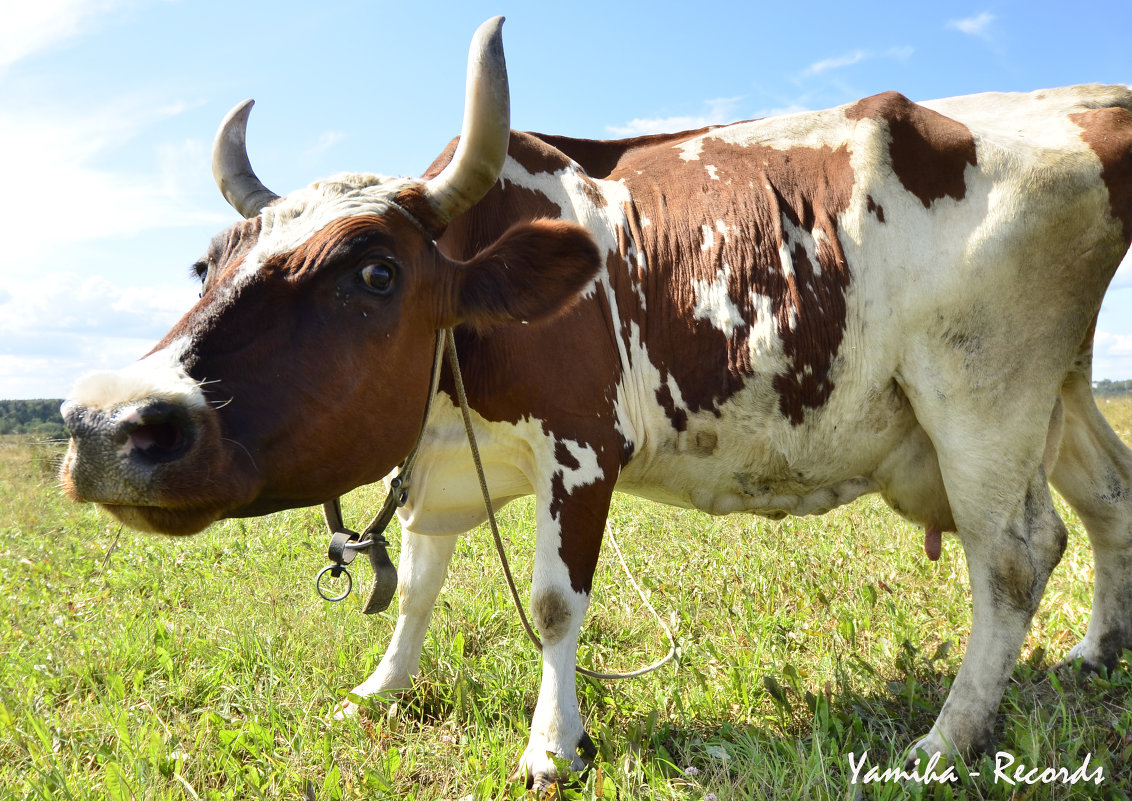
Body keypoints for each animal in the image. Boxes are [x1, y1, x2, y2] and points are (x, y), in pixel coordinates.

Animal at [55, 15, 1132, 791]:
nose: (112, 427)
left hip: (982, 395)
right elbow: (418, 583)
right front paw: (380, 688)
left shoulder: (577, 450)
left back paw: (945, 740)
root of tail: (1079, 105)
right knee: (1108, 499)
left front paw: (549, 746)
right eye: (207, 265)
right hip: (1061, 386)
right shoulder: (447, 457)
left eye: (373, 272)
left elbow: (552, 602)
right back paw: (1093, 653)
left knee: (1014, 555)